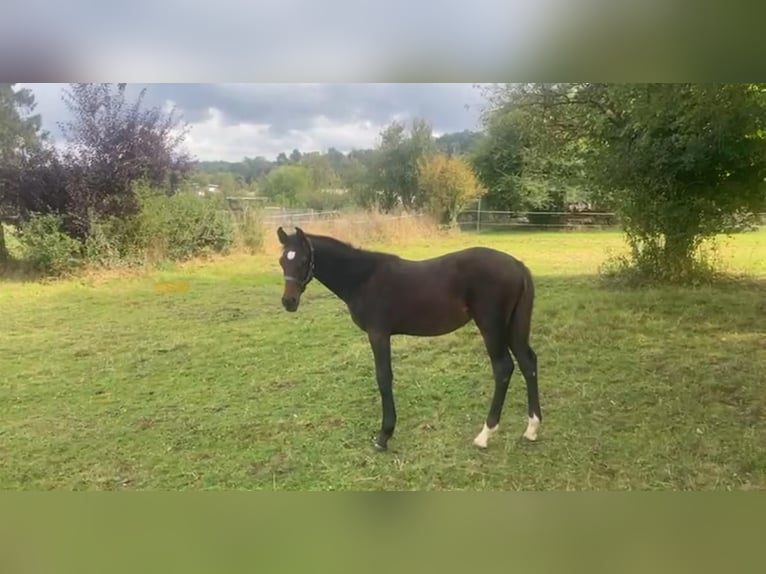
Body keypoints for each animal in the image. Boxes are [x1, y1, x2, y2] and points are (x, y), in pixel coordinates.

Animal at [274, 227, 540, 452]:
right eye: (282, 261)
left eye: (303, 260)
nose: (289, 302)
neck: (364, 278)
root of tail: (518, 265)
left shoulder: (378, 333)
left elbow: (383, 377)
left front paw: (383, 436)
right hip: (513, 326)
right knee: (528, 362)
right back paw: (532, 429)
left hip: (491, 326)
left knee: (503, 367)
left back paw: (485, 434)